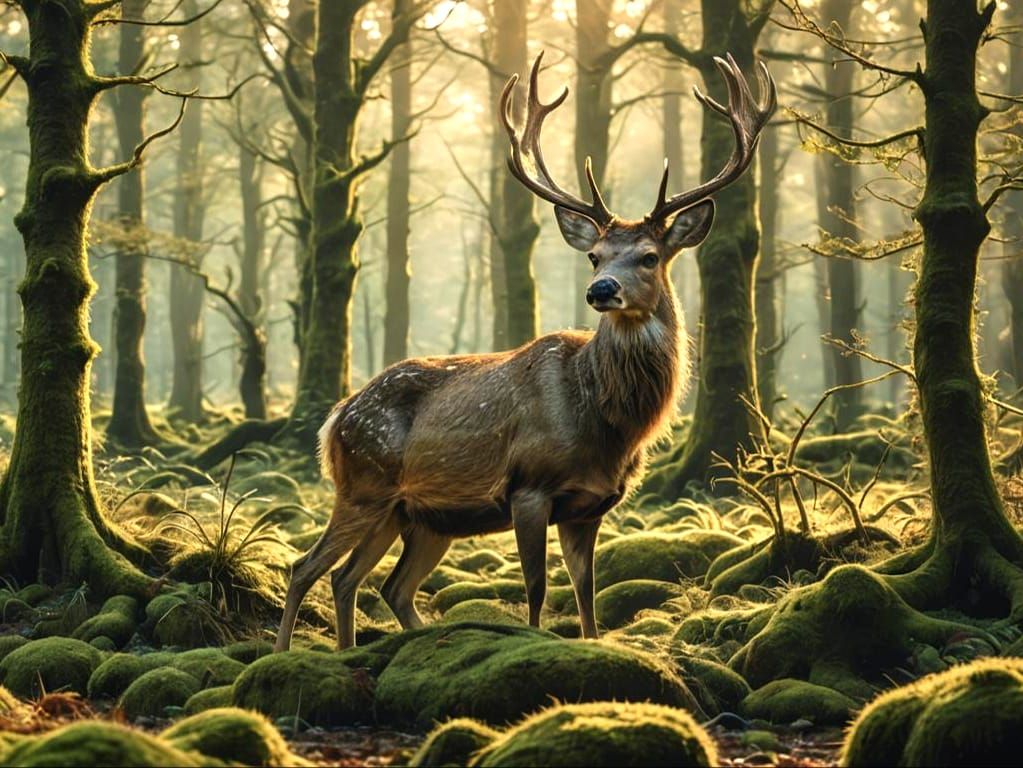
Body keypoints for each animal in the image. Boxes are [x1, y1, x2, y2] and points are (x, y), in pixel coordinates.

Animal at [275, 53, 776, 651]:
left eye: (650, 256)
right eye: (595, 255)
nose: (601, 289)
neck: (606, 421)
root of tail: (334, 421)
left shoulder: (591, 504)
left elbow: (586, 595)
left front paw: (587, 642)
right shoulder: (529, 487)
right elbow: (537, 589)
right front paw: (534, 642)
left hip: (416, 514)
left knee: (369, 582)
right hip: (364, 483)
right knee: (306, 568)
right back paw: (282, 654)